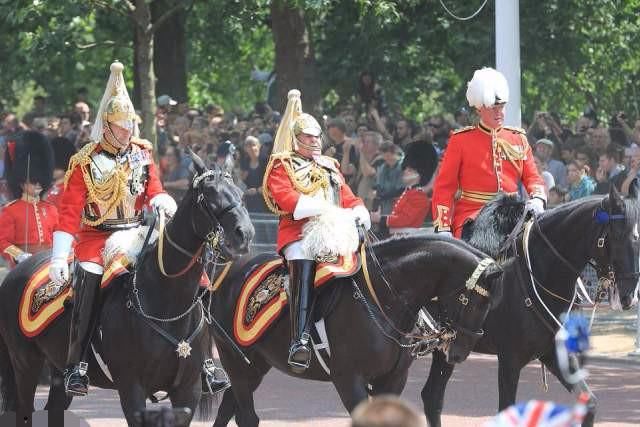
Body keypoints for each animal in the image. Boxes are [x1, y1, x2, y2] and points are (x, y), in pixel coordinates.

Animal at [0, 152, 255, 426]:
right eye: (208, 196)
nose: (245, 235)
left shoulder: (188, 390)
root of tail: (16, 272)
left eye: (240, 193)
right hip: (25, 365)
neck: (165, 301)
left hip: (56, 369)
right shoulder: (131, 388)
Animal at [210, 234, 504, 427]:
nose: (459, 352)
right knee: (247, 416)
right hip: (233, 359)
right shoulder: (348, 379)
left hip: (255, 365)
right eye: (473, 300)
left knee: (228, 407)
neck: (382, 298)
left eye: (491, 304)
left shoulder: (392, 379)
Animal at [422, 188, 636, 427]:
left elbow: (589, 402)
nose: (629, 295)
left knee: (432, 397)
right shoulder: (509, 360)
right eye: (616, 237)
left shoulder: (555, 353)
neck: (544, 275)